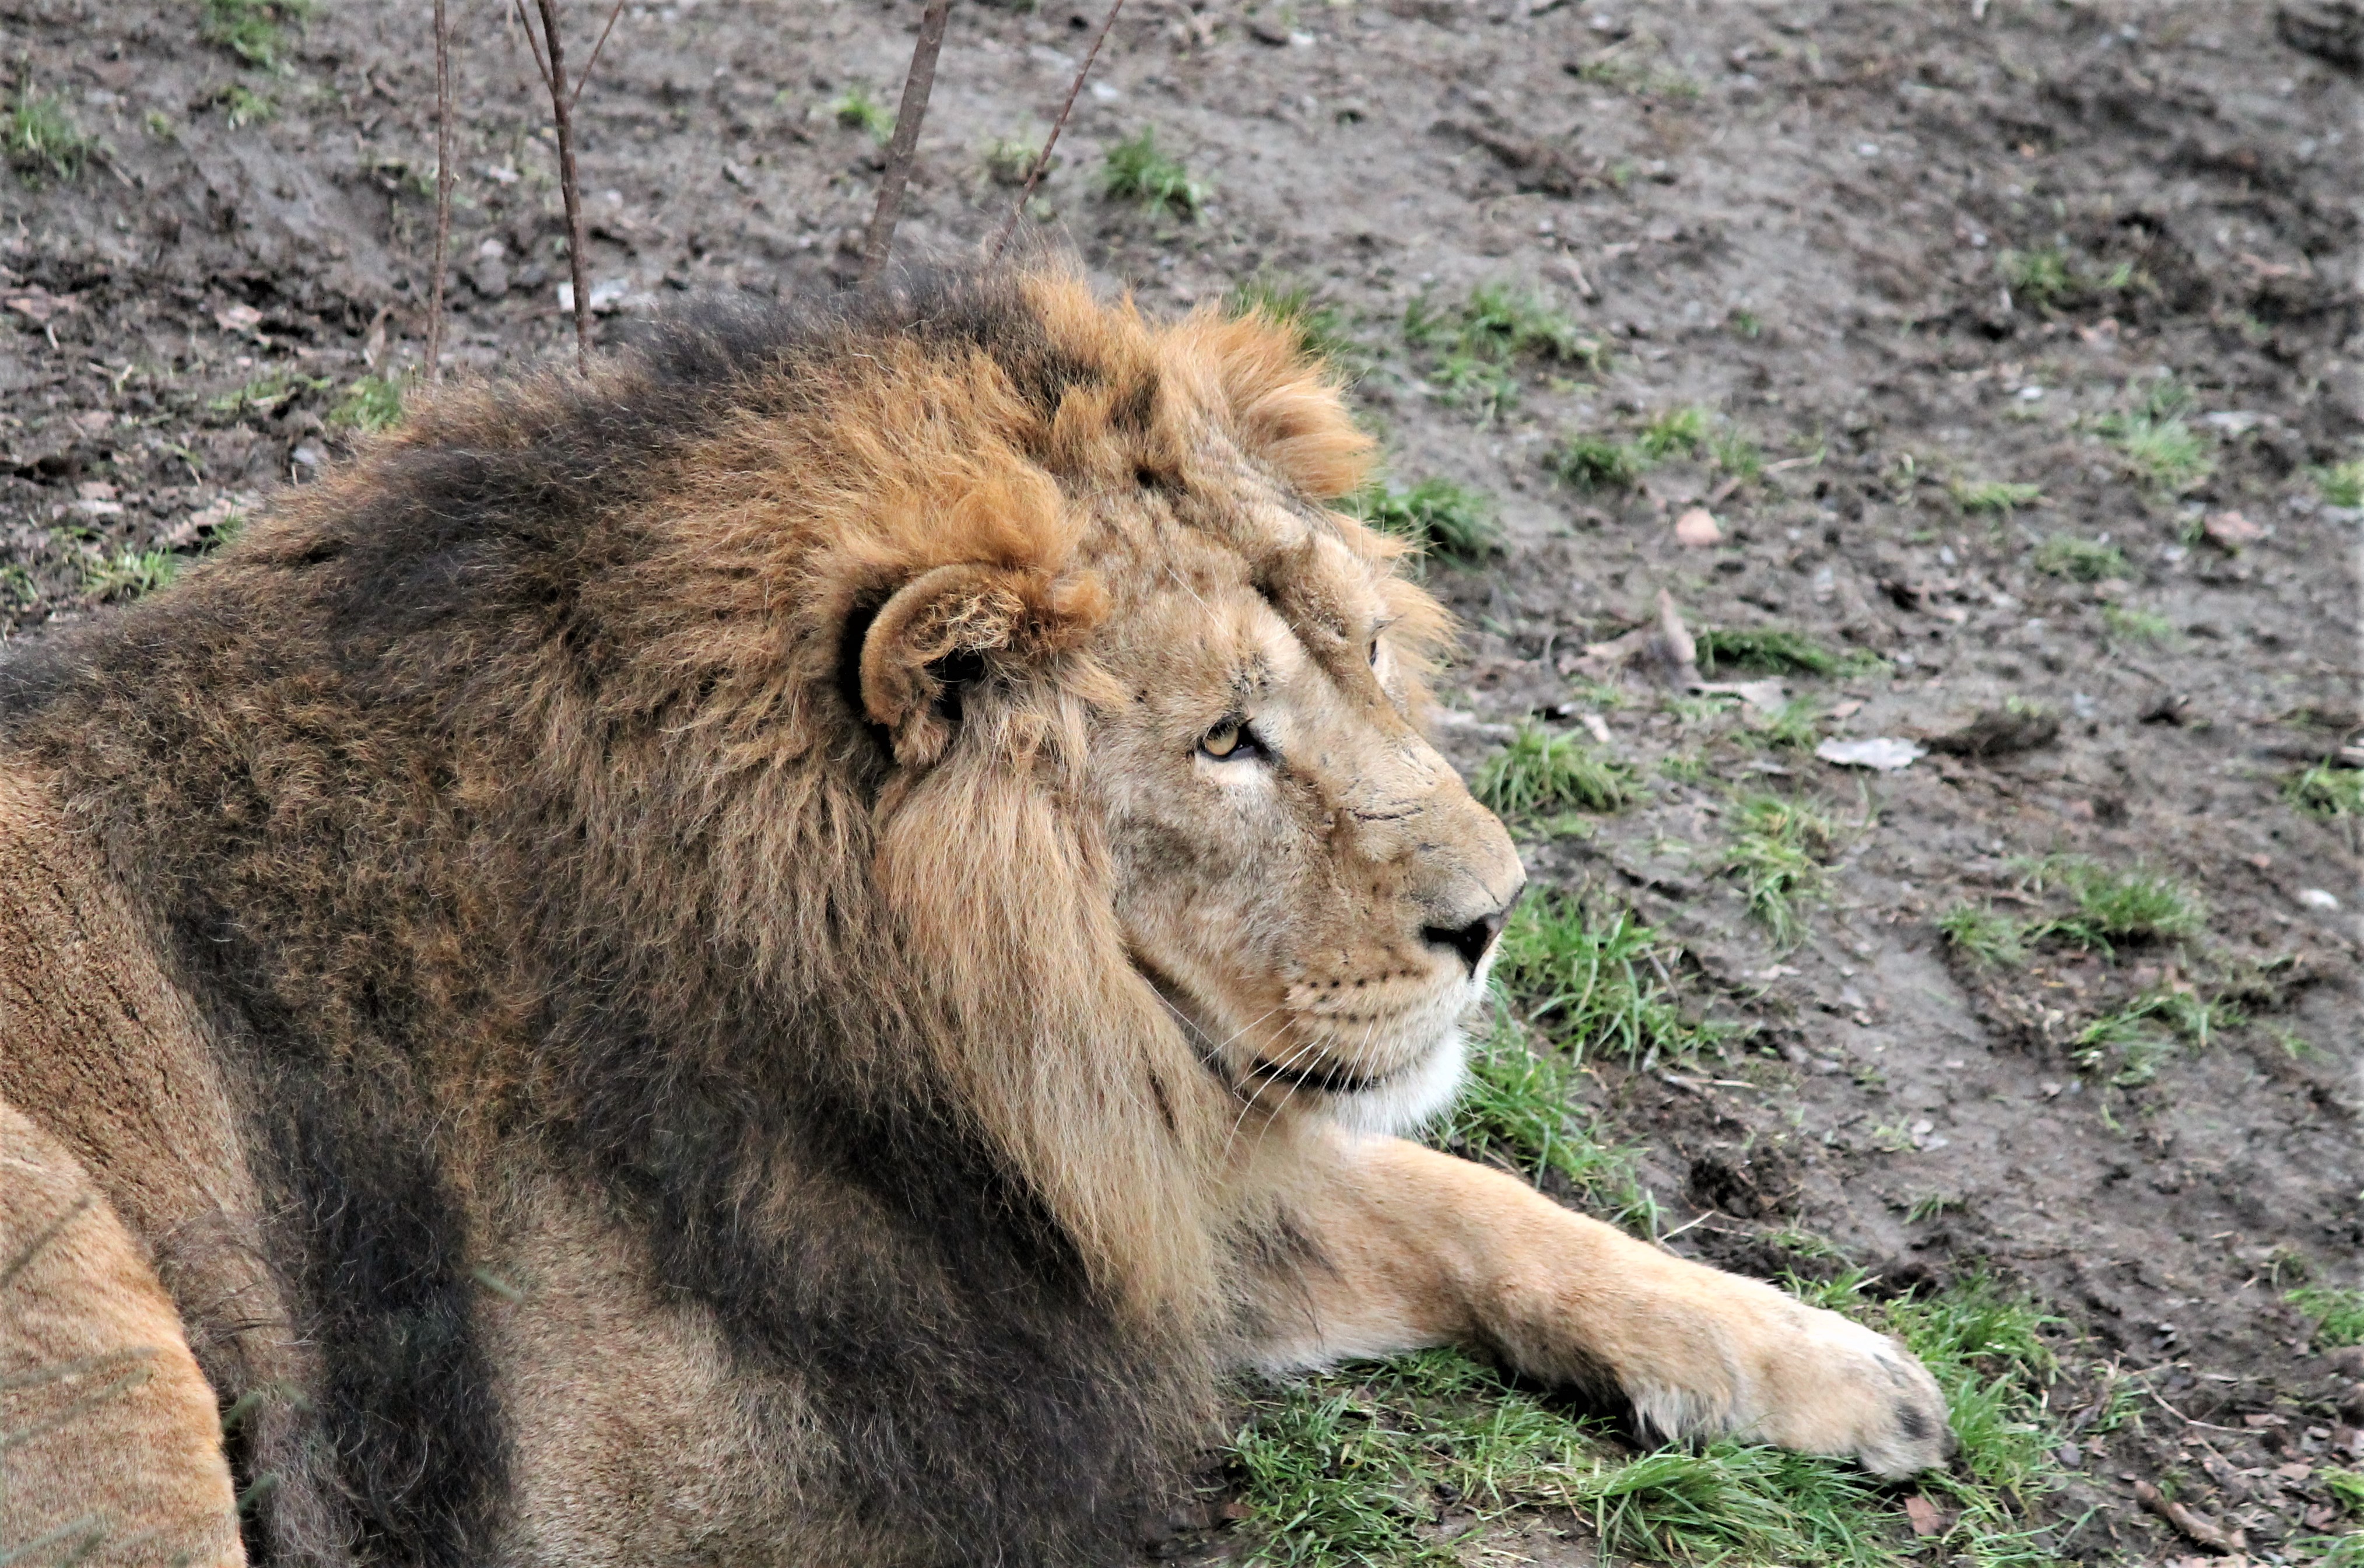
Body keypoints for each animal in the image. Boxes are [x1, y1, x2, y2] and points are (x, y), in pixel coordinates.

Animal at [0, 264, 1950, 1567]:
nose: (1495, 917)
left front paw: (1827, 1362)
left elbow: (1459, 1193)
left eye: (1370, 654)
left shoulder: (1067, 1212)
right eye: (1224, 740)